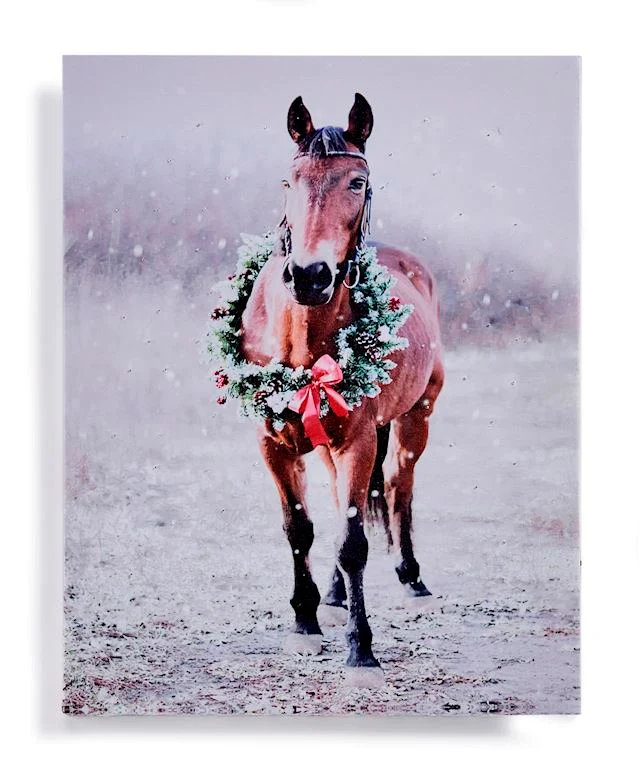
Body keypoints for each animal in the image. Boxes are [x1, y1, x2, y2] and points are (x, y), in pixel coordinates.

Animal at [240, 93, 444, 686]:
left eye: (357, 181)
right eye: (289, 180)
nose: (310, 275)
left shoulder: (359, 440)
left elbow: (355, 544)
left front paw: (361, 650)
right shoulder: (273, 444)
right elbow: (300, 529)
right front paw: (305, 621)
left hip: (414, 421)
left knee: (399, 489)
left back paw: (413, 578)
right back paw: (332, 596)